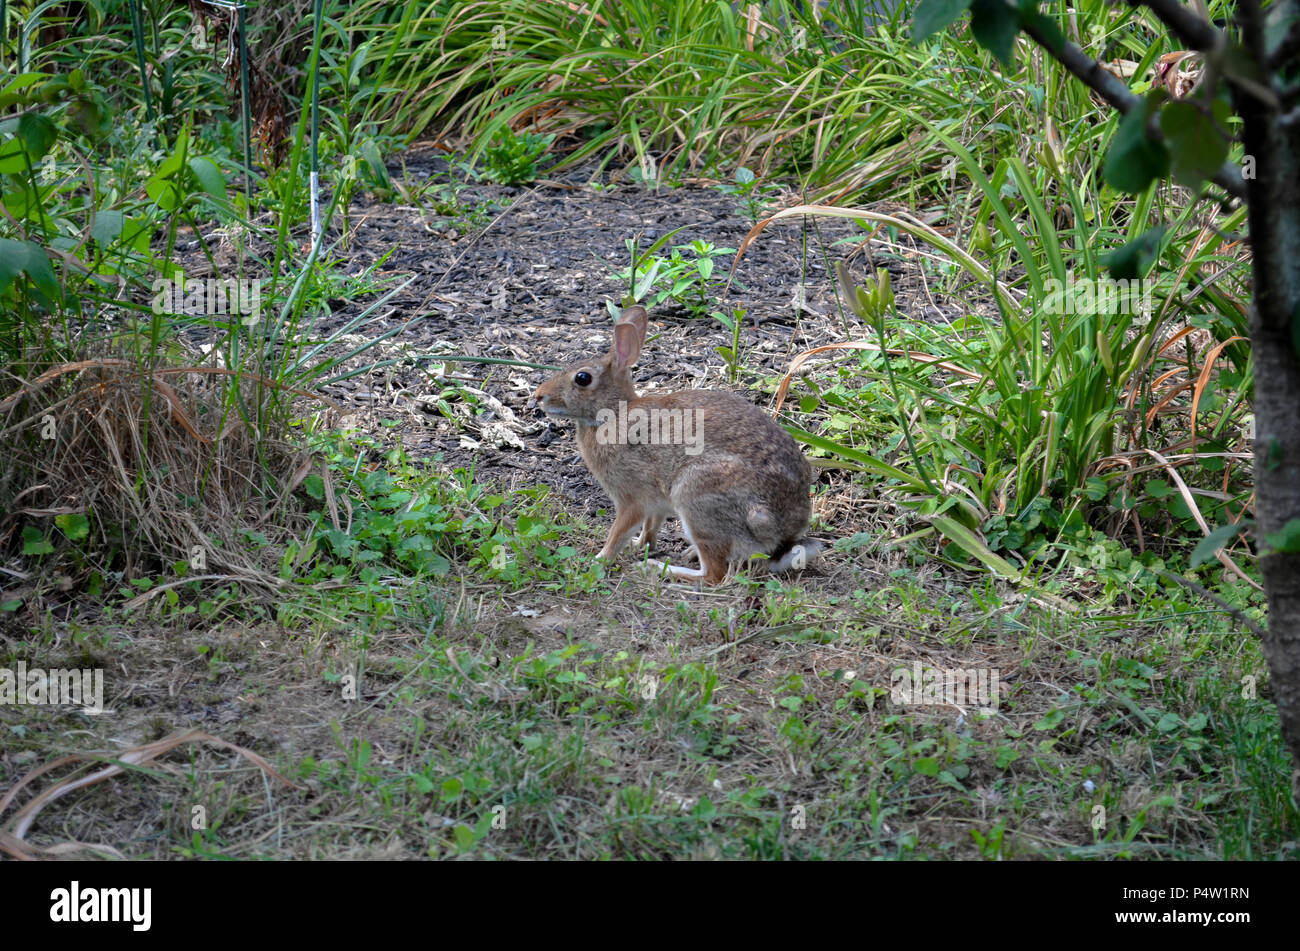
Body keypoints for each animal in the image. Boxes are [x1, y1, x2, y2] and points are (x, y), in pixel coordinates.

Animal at [531, 304, 822, 585]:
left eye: (582, 378)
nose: (538, 396)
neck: (612, 412)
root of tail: (782, 536)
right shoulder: (655, 504)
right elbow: (650, 527)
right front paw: (639, 545)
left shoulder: (631, 498)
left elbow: (619, 532)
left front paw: (598, 560)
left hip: (696, 496)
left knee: (715, 575)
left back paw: (658, 569)